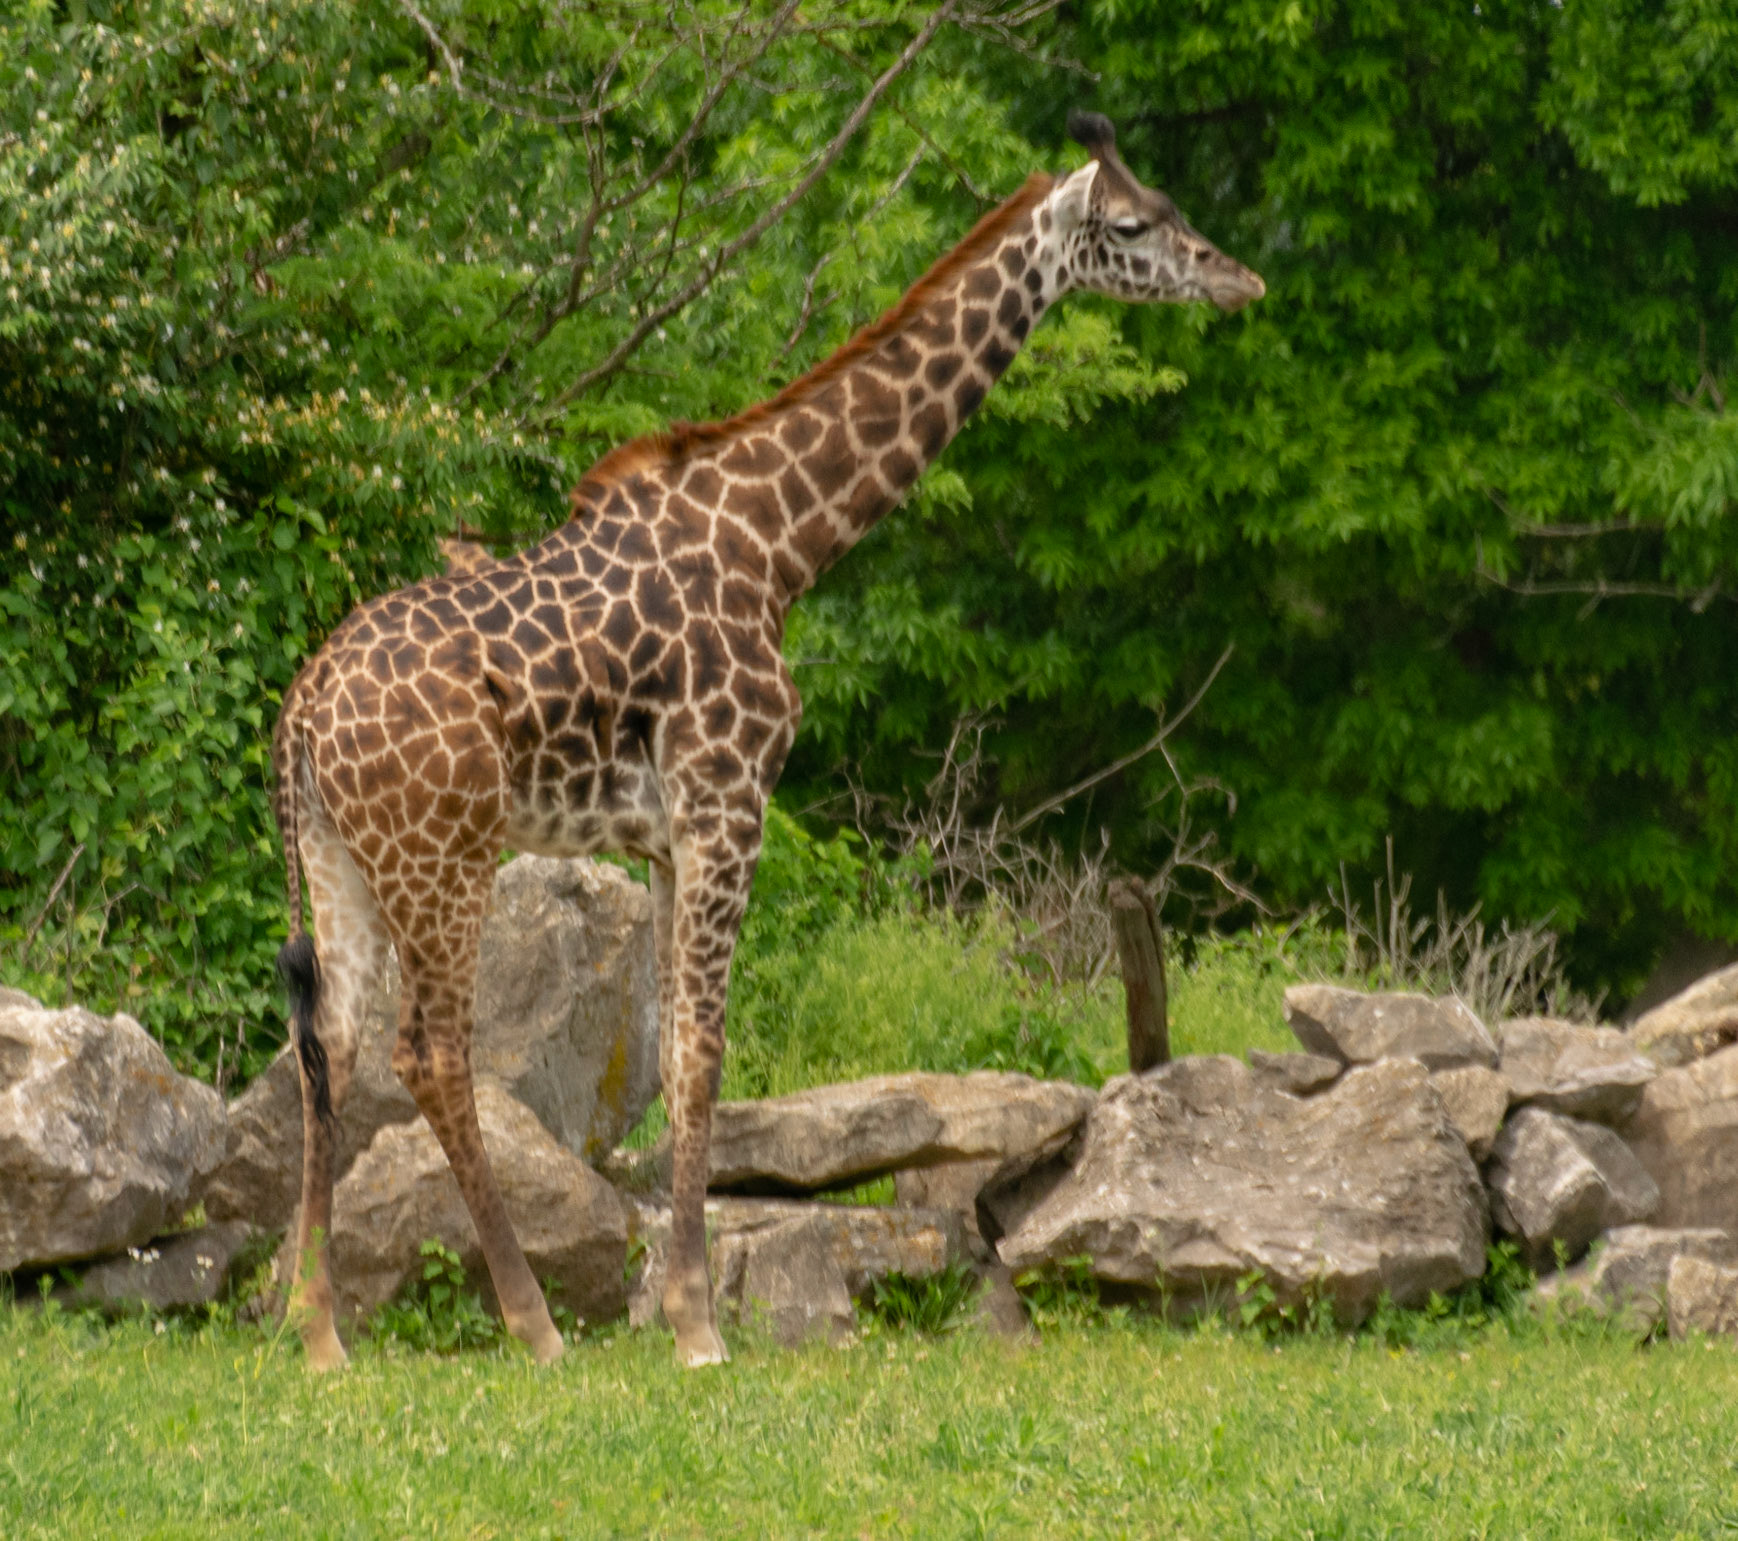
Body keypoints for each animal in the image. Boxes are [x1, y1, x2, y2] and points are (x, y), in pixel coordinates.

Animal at [270, 111, 1264, 1370]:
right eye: (1134, 225)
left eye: (1178, 212)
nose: (1238, 278)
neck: (782, 541)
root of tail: (301, 712)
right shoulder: (727, 793)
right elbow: (703, 1051)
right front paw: (699, 1325)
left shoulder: (660, 831)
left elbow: (666, 1051)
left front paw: (673, 1304)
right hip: (444, 851)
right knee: (430, 1051)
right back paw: (533, 1326)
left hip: (339, 855)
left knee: (333, 1043)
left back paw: (321, 1336)